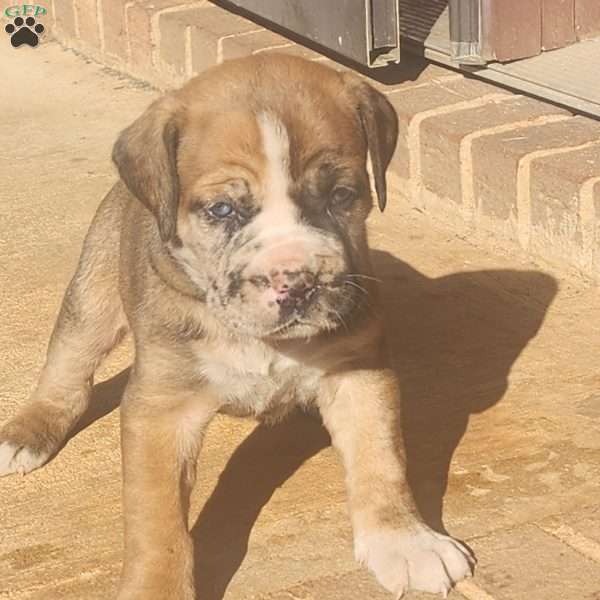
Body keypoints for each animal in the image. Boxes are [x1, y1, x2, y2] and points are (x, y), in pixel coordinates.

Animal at [1, 54, 478, 596]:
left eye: (342, 195)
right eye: (222, 210)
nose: (297, 283)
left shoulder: (358, 371)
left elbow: (382, 459)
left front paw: (405, 540)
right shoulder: (160, 408)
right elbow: (157, 520)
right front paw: (156, 587)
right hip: (94, 292)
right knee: (69, 362)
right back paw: (29, 430)